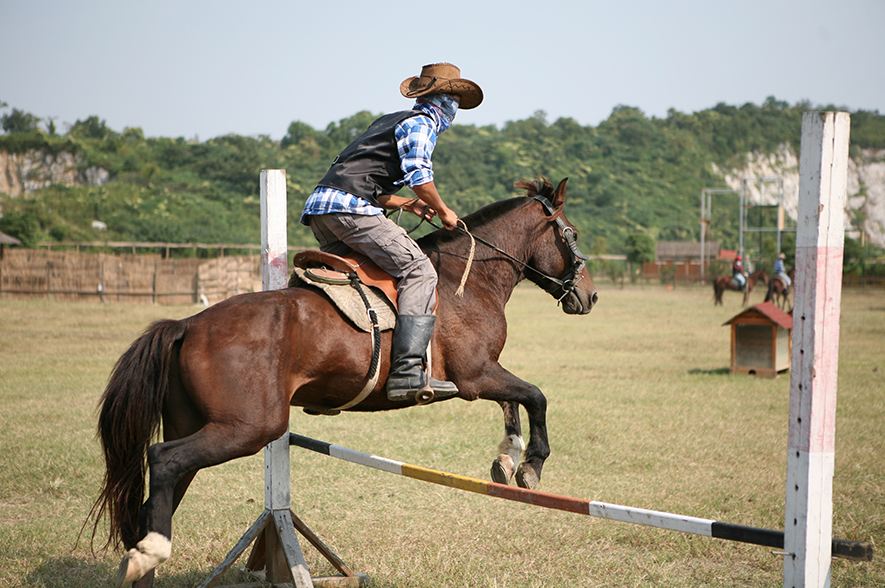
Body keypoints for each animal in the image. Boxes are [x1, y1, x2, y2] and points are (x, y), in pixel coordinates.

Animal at [88, 177, 600, 584]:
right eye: (571, 234)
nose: (590, 296)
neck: (467, 276)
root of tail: (187, 325)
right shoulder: (476, 375)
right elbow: (536, 397)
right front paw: (531, 465)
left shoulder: (485, 374)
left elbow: (515, 403)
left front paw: (507, 458)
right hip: (248, 428)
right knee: (165, 460)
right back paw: (150, 552)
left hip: (197, 422)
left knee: (164, 486)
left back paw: (141, 561)